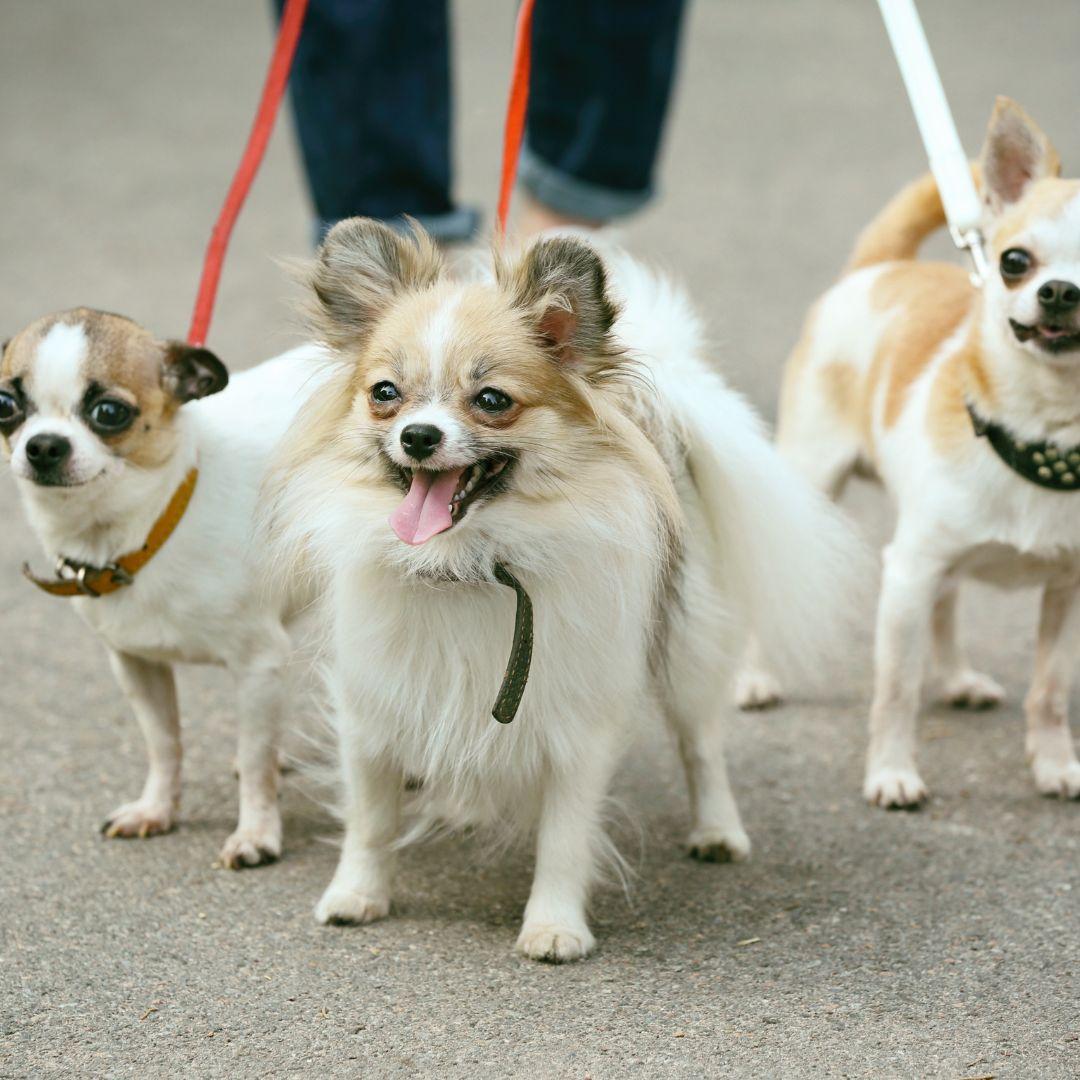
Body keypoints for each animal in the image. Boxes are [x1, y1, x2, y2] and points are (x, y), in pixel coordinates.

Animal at [270, 221, 859, 963]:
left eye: (492, 400)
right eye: (384, 393)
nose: (418, 435)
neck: (473, 564)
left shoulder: (577, 722)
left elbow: (564, 837)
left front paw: (553, 927)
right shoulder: (372, 700)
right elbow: (370, 817)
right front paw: (357, 894)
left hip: (689, 649)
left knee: (700, 744)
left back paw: (717, 830)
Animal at [738, 101, 1080, 807]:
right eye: (1015, 261)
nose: (1061, 291)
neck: (1043, 437)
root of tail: (879, 267)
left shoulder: (1065, 591)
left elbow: (1051, 690)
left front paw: (1055, 764)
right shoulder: (905, 580)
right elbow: (894, 692)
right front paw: (891, 774)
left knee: (947, 605)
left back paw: (957, 678)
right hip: (814, 482)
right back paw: (757, 679)